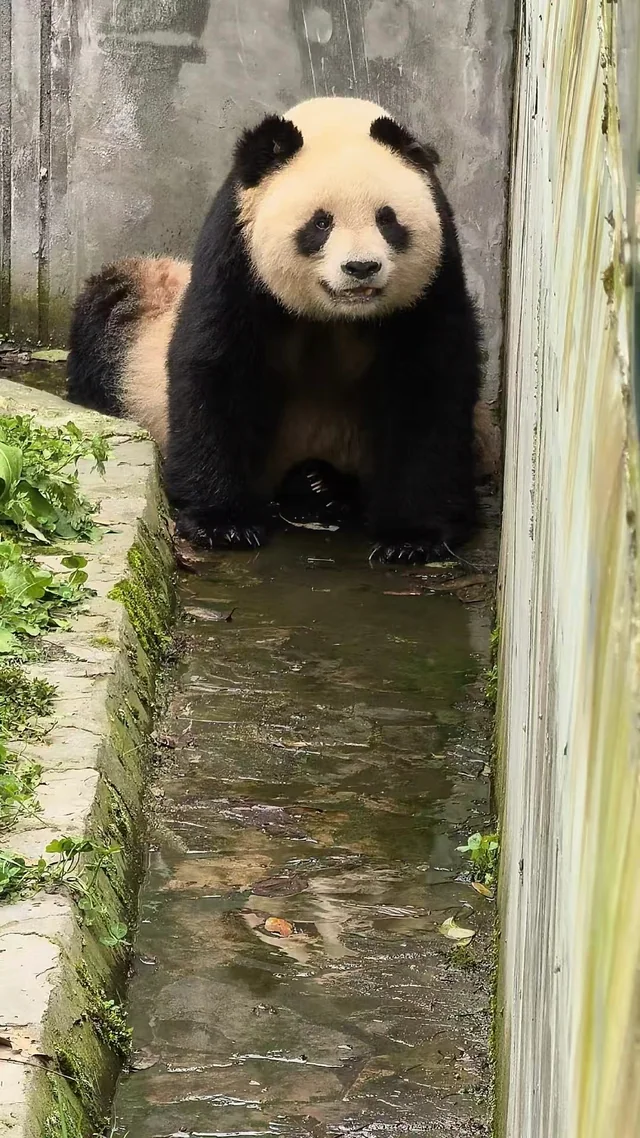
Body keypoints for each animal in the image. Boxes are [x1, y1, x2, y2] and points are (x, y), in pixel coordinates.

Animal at [67, 96, 486, 563]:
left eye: (387, 219)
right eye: (321, 223)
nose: (361, 268)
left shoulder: (433, 281)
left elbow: (427, 385)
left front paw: (412, 539)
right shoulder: (236, 255)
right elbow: (219, 368)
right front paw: (224, 523)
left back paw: (324, 485)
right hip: (132, 318)